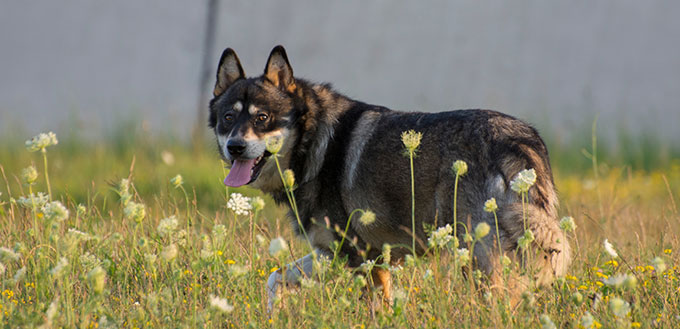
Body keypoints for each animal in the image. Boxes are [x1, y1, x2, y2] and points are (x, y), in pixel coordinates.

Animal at [210, 44, 572, 306]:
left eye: (263, 118)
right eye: (228, 117)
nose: (235, 147)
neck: (313, 142)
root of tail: (520, 140)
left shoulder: (358, 256)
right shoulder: (347, 255)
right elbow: (274, 279)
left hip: (481, 257)